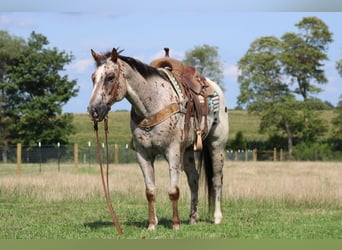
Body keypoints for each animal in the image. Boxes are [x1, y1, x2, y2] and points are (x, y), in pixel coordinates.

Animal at [87, 48, 228, 230]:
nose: (93, 110)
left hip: (216, 146)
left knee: (217, 180)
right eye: (93, 78)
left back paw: (217, 218)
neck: (153, 104)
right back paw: (193, 217)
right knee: (194, 180)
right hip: (188, 151)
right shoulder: (143, 154)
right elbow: (150, 192)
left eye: (110, 77)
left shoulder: (172, 152)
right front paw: (152, 224)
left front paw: (175, 225)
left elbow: (173, 191)